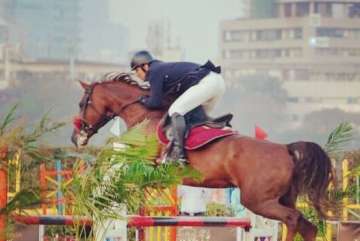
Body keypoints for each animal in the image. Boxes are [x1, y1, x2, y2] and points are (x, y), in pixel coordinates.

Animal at [71, 73, 334, 241]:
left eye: (83, 103)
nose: (76, 138)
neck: (144, 113)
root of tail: (286, 149)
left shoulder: (141, 157)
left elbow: (111, 153)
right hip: (281, 198)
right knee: (308, 227)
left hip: (258, 201)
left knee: (292, 219)